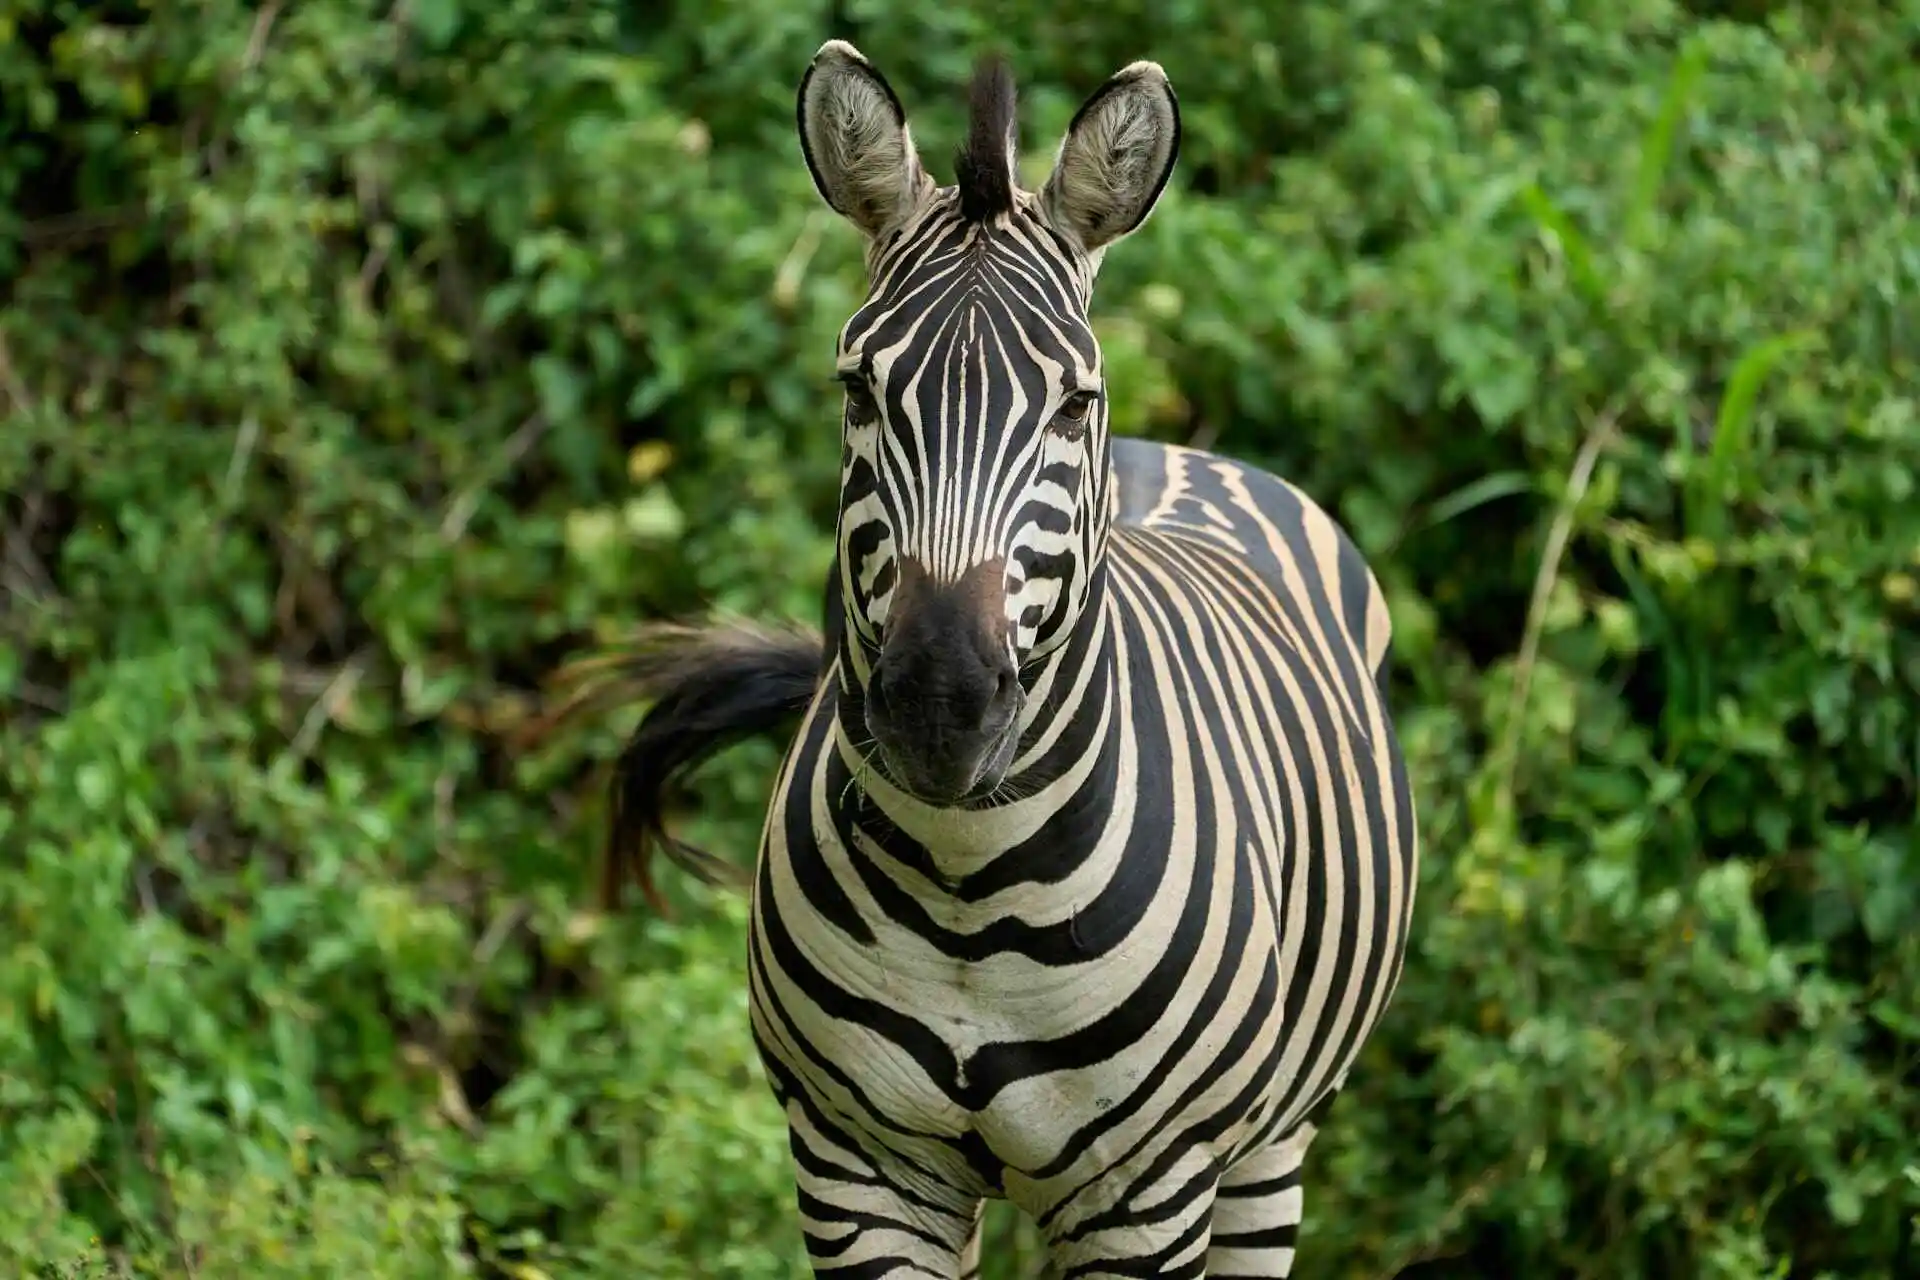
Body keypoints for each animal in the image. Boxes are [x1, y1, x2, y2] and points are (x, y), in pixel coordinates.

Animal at [560, 40, 1420, 1280]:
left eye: (1072, 401)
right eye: (858, 389)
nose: (939, 701)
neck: (971, 884)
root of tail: (1187, 455)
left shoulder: (1146, 1194)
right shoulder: (857, 1167)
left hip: (1267, 1148)